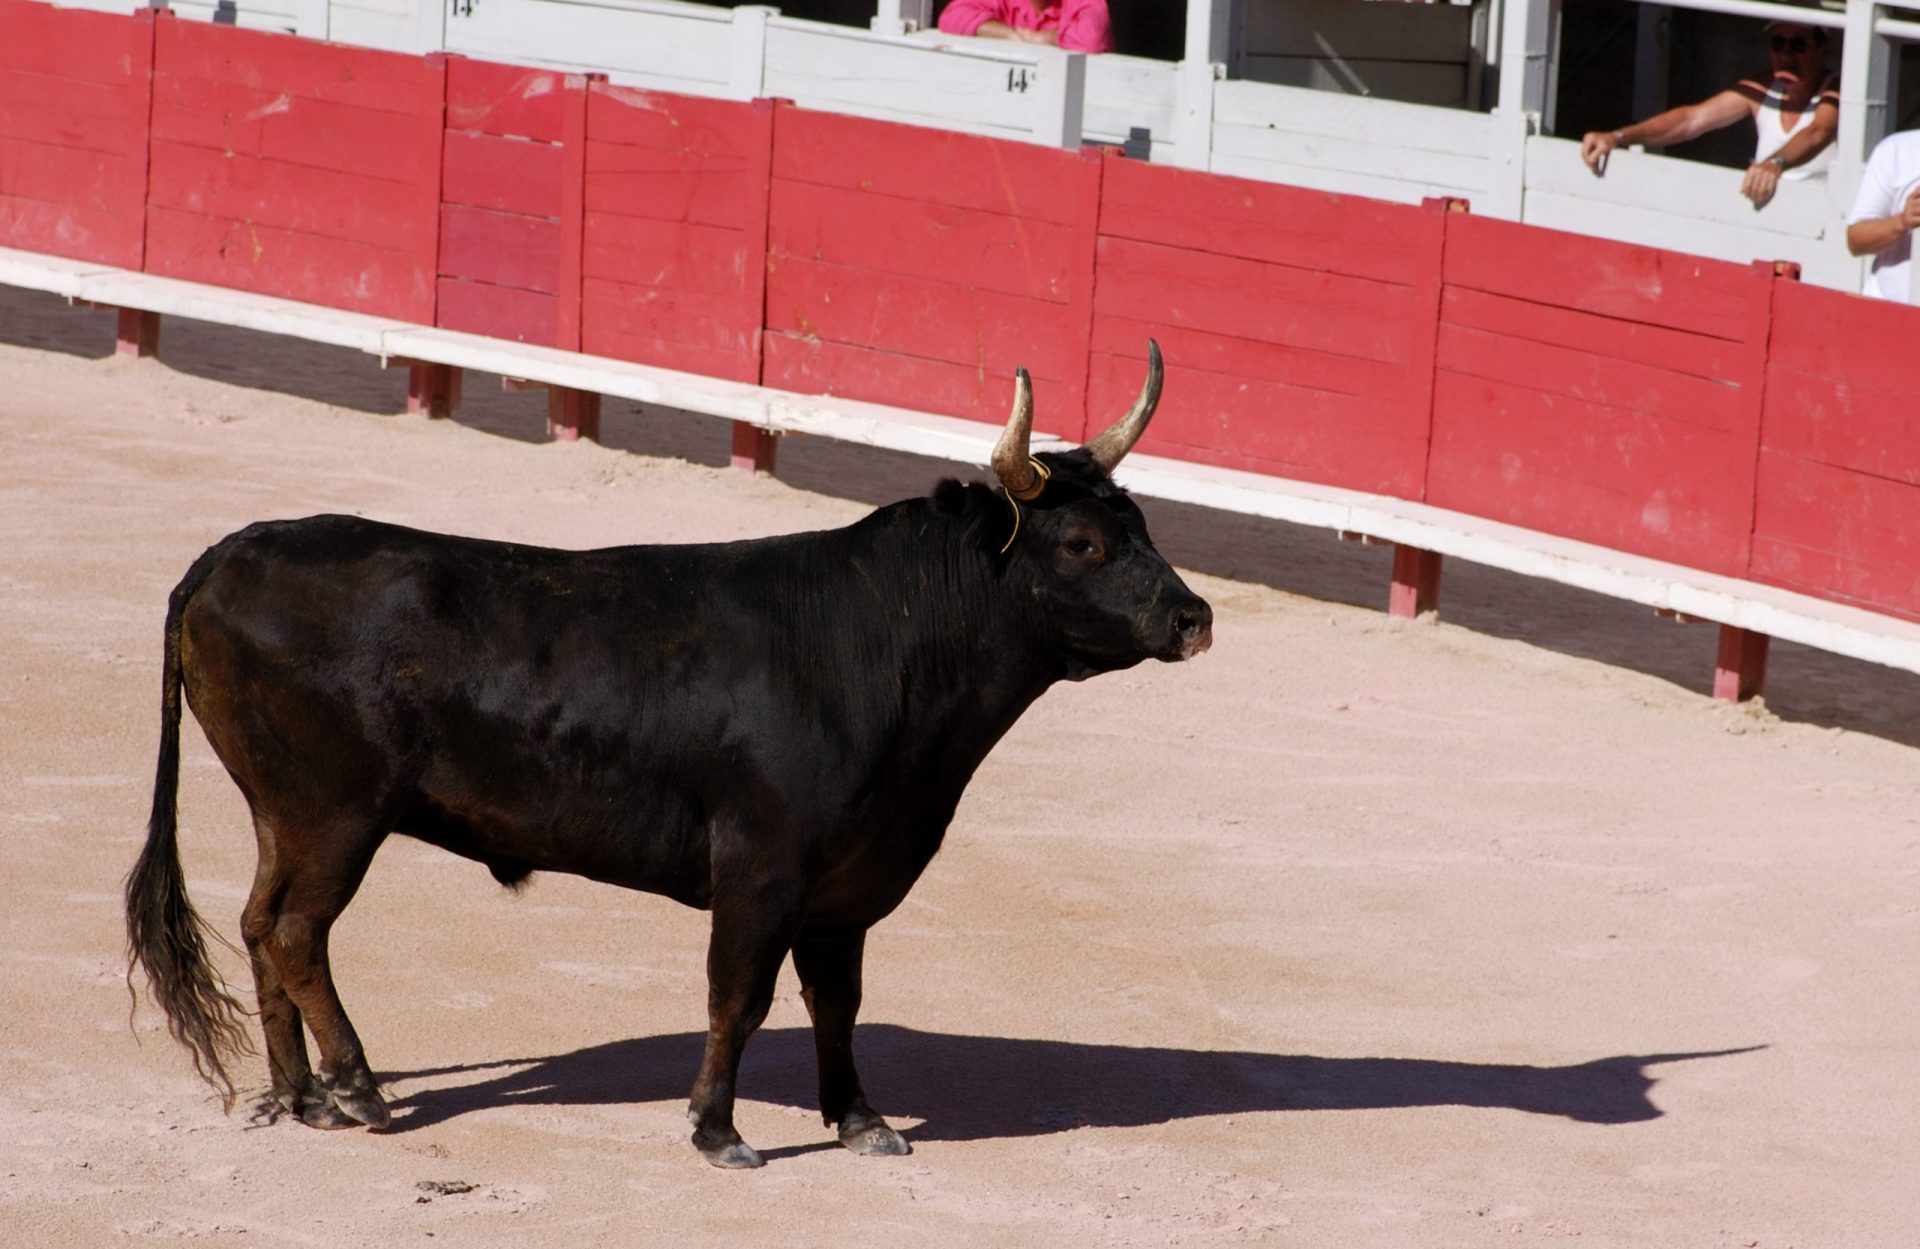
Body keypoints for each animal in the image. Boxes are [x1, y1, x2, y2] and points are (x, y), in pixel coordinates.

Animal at [127, 345, 1213, 1174]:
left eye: (1143, 526)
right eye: (1080, 542)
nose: (1193, 616)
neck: (884, 639)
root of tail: (230, 553)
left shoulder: (845, 888)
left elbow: (838, 1002)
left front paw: (862, 1120)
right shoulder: (761, 870)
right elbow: (740, 995)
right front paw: (718, 1130)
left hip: (282, 809)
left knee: (259, 922)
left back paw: (301, 1096)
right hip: (337, 812)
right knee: (298, 931)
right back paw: (355, 1085)